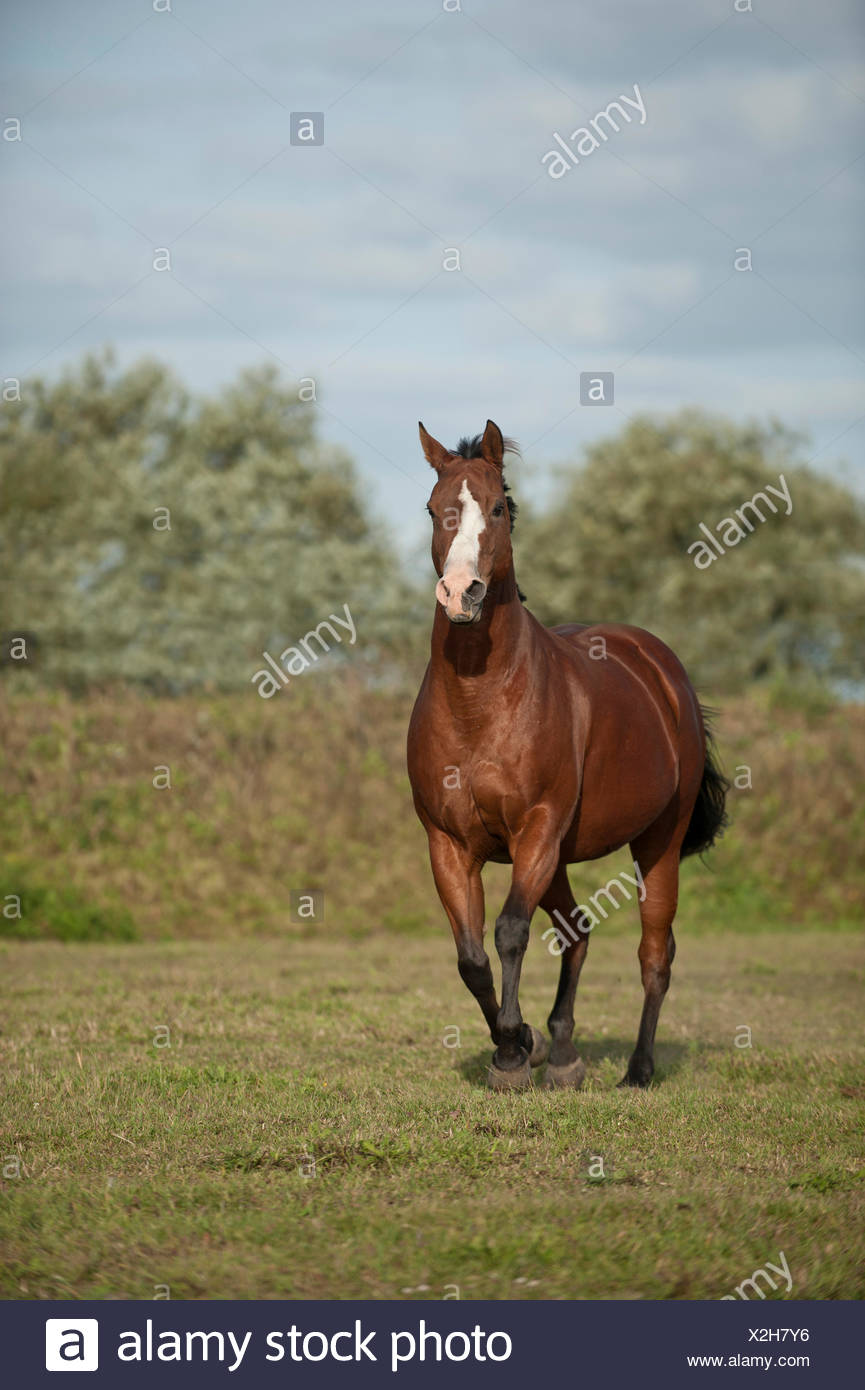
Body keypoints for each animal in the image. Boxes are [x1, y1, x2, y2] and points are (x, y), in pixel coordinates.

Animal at [406, 419, 729, 1091]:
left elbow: (508, 933)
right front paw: (520, 1043)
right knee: (576, 933)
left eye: (498, 508)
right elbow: (471, 957)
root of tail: (664, 672)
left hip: (656, 842)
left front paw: (510, 1051)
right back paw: (561, 1055)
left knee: (655, 953)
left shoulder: (537, 829)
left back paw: (637, 1070)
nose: (460, 594)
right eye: (432, 507)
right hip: (556, 859)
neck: (480, 703)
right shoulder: (448, 844)